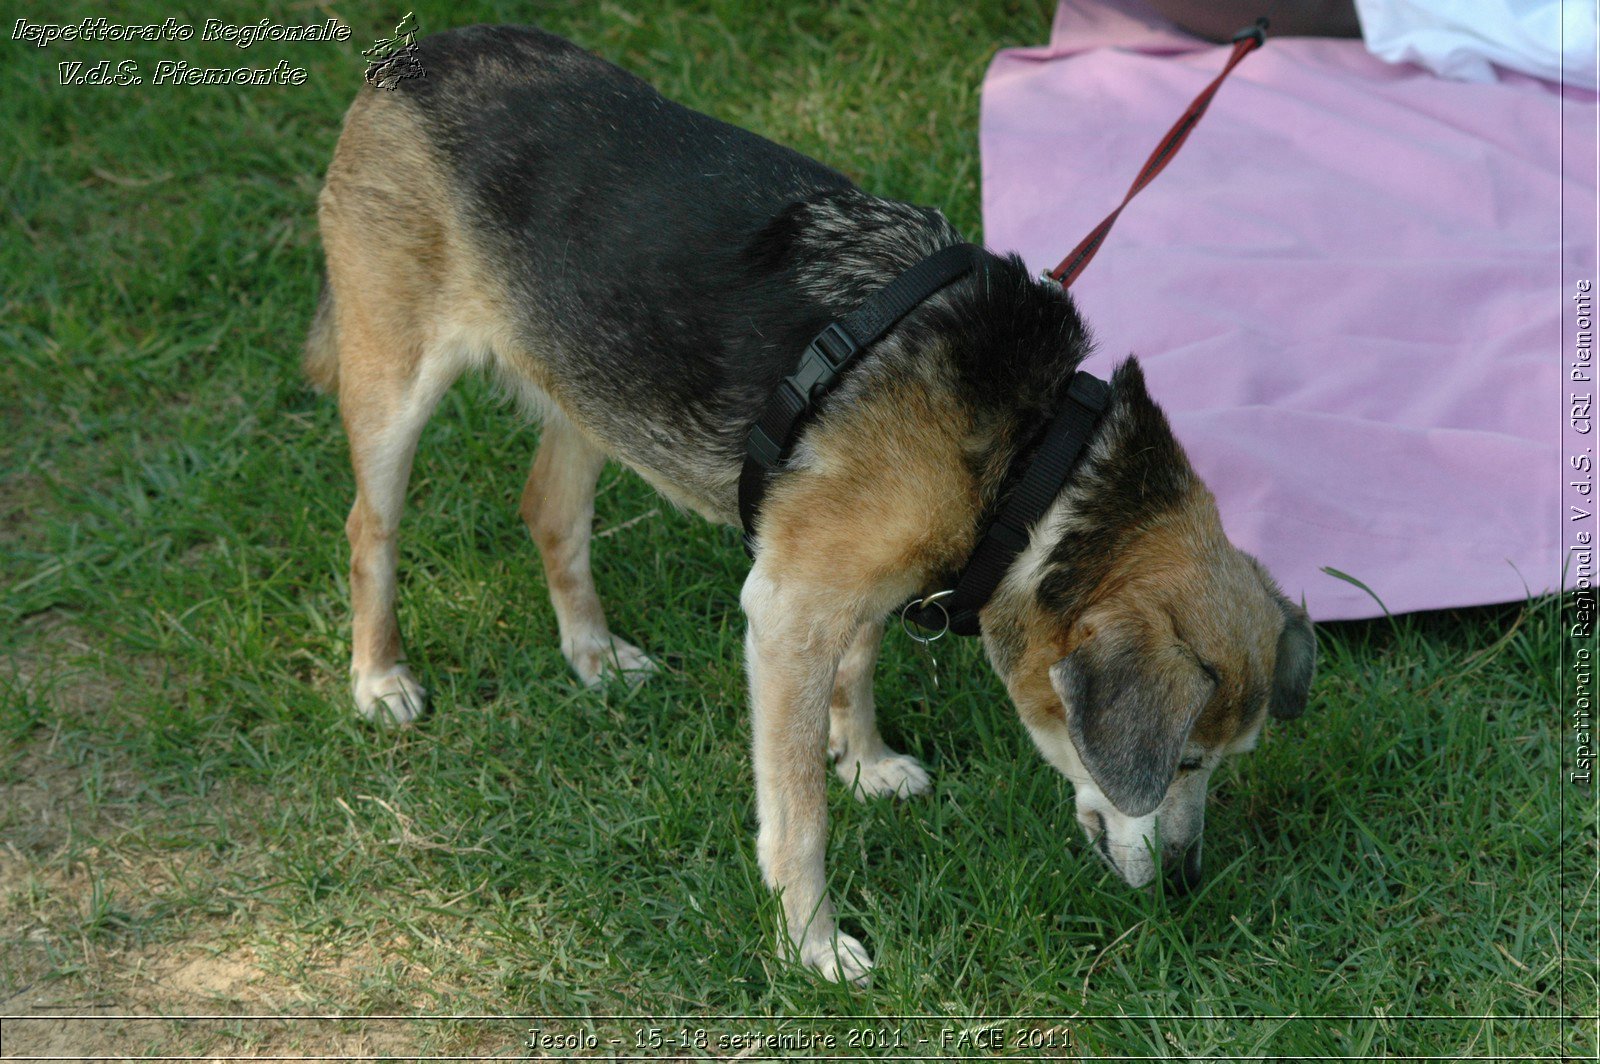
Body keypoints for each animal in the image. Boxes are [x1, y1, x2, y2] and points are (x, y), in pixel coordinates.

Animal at [302, 24, 1312, 985]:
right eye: (1184, 762)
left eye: (1226, 763)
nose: (1186, 883)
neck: (1033, 465)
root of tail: (415, 57)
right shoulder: (787, 612)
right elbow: (799, 816)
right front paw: (811, 947)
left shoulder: (852, 582)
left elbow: (856, 669)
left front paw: (864, 761)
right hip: (394, 379)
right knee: (366, 529)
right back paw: (380, 679)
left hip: (591, 379)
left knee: (548, 508)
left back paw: (592, 652)